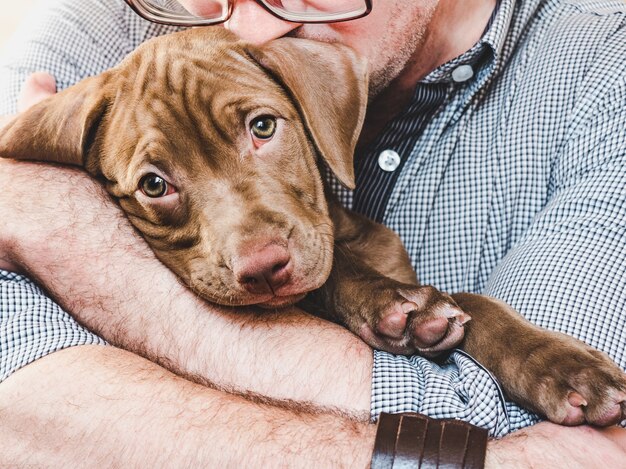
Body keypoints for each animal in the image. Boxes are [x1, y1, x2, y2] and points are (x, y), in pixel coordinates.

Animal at [0, 27, 620, 426]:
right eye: (154, 185)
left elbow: (478, 303)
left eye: (263, 127)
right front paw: (395, 306)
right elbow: (338, 279)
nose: (262, 270)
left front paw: (562, 366)